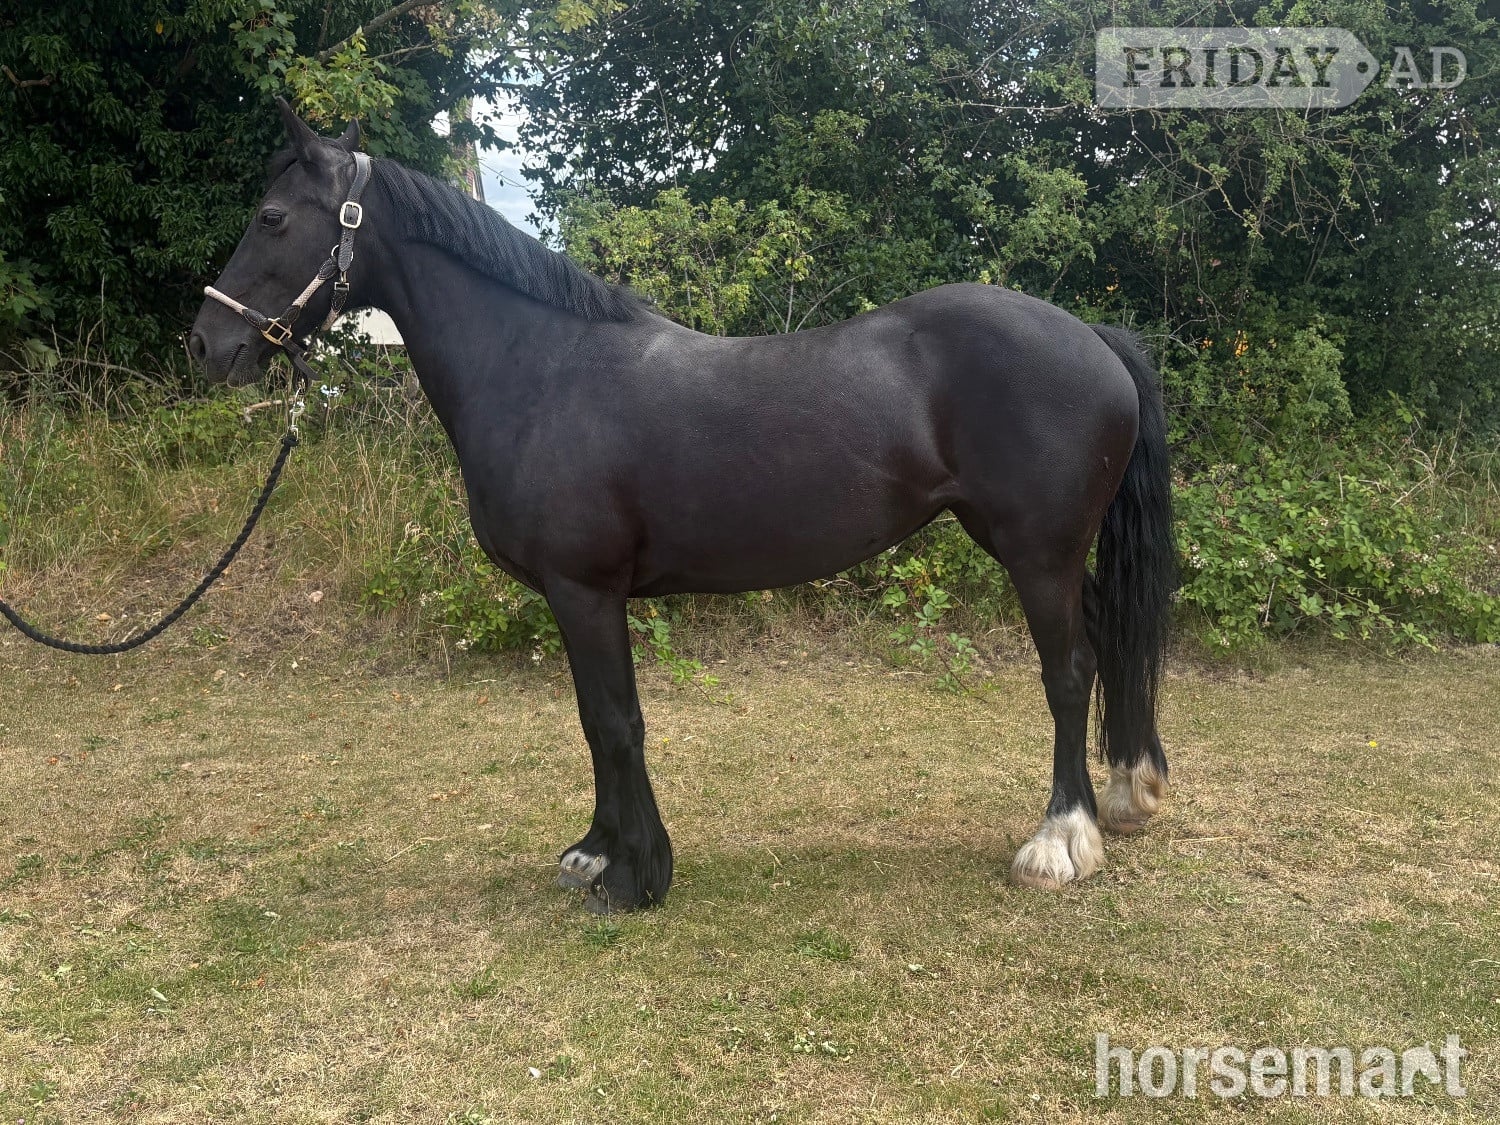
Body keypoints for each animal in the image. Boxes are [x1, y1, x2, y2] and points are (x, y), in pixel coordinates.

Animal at [188, 101, 1178, 913]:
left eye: (272, 218)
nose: (208, 343)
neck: (540, 367)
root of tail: (1095, 337)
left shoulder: (584, 590)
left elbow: (613, 720)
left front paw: (634, 875)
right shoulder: (578, 599)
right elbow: (593, 718)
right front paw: (595, 852)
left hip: (1037, 551)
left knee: (1069, 671)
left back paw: (1060, 840)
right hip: (1049, 551)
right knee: (1110, 644)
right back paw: (1127, 793)